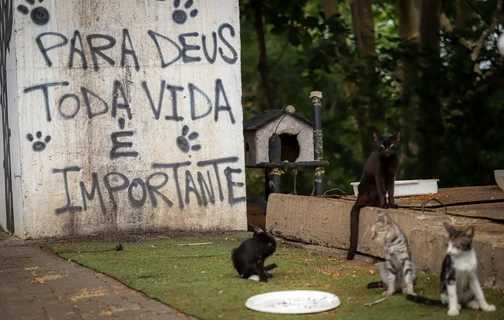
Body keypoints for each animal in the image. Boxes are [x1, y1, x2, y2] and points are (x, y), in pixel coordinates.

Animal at [344, 132, 400, 260]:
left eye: (391, 145)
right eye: (382, 146)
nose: (387, 151)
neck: (388, 161)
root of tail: (359, 196)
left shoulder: (392, 176)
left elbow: (391, 191)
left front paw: (392, 204)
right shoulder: (379, 177)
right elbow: (383, 192)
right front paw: (385, 205)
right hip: (372, 186)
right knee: (367, 203)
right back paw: (379, 204)